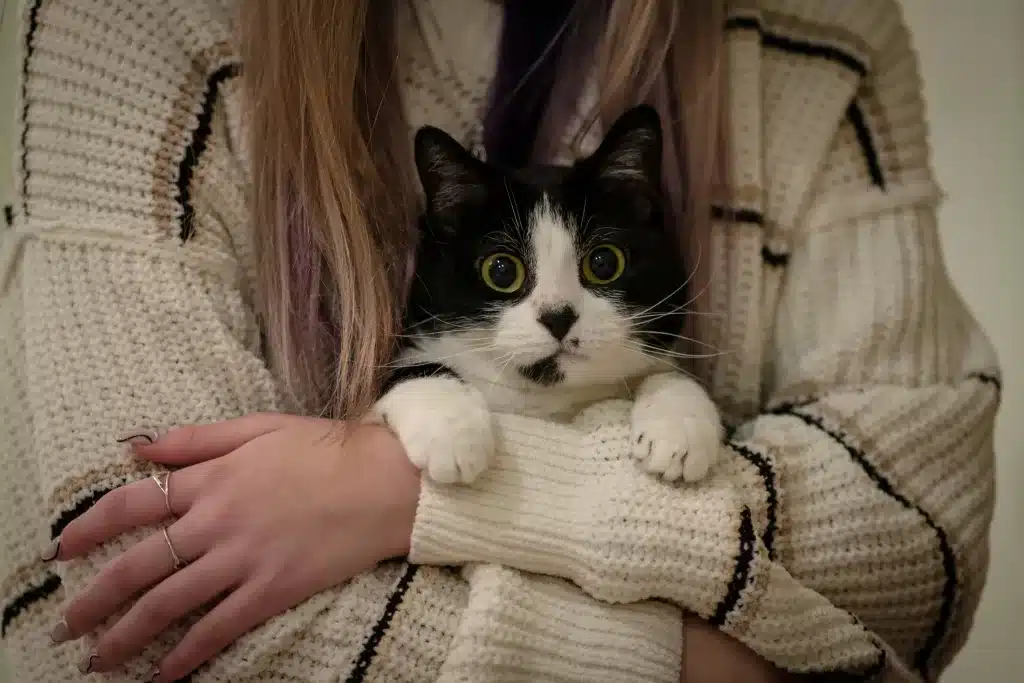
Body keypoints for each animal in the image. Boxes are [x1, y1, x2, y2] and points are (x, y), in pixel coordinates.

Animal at [372, 104, 724, 483]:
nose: (558, 317)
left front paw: (680, 428)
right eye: (501, 270)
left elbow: (666, 372)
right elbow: (412, 368)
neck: (546, 401)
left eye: (603, 263)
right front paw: (452, 431)